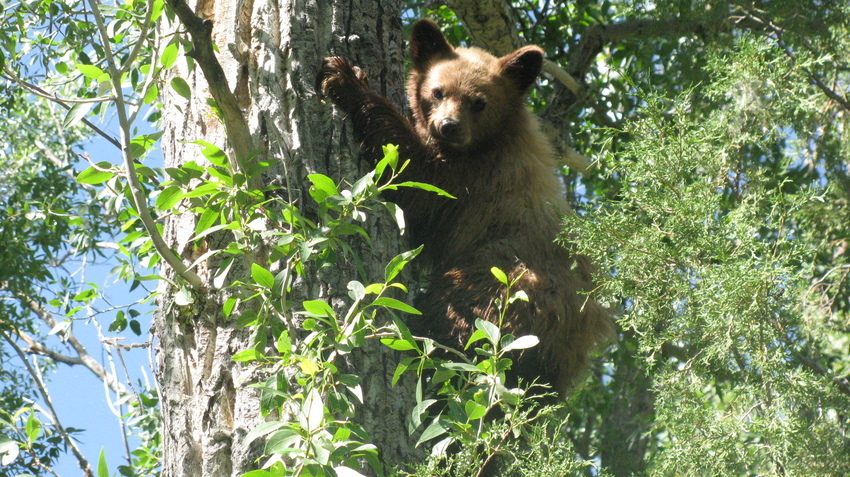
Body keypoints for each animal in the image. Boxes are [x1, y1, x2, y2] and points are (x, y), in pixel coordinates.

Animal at [318, 18, 608, 396]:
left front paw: (346, 79)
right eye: (438, 91)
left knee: (456, 325)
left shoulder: (476, 179)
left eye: (479, 102)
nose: (449, 126)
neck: (492, 139)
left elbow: (416, 177)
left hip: (497, 289)